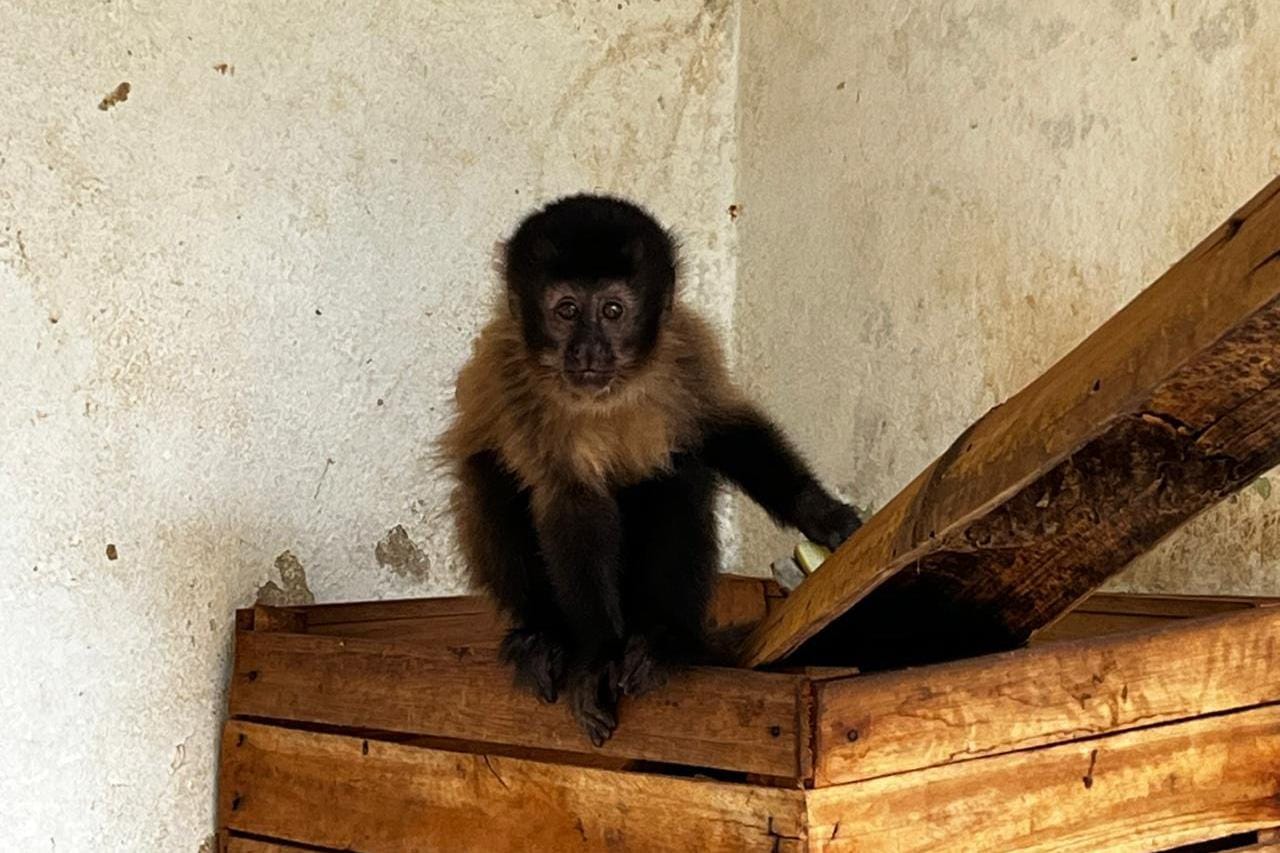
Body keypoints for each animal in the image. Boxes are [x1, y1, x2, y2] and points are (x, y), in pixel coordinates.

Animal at [440, 194, 862, 745]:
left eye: (612, 311)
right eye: (567, 310)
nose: (589, 350)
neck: (608, 395)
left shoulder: (687, 348)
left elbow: (725, 431)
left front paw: (822, 515)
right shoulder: (513, 379)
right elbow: (573, 505)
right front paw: (596, 656)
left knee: (676, 469)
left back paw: (662, 639)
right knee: (489, 472)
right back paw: (544, 637)